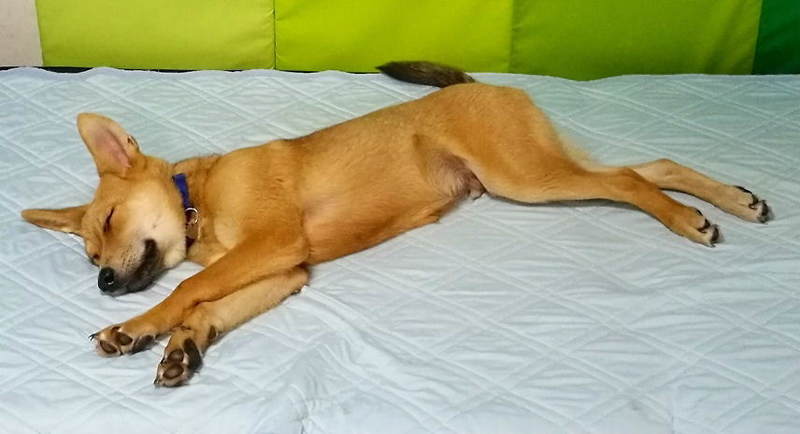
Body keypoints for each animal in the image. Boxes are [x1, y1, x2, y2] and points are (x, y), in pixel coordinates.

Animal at [21, 62, 771, 386]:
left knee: (628, 181)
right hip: (540, 163)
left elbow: (184, 290)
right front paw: (182, 346)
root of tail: (477, 84)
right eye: (89, 254)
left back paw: (689, 221)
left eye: (111, 219)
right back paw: (734, 201)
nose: (103, 284)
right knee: (653, 165)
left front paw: (136, 327)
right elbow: (209, 307)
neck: (197, 202)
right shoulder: (287, 270)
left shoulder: (273, 244)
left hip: (523, 175)